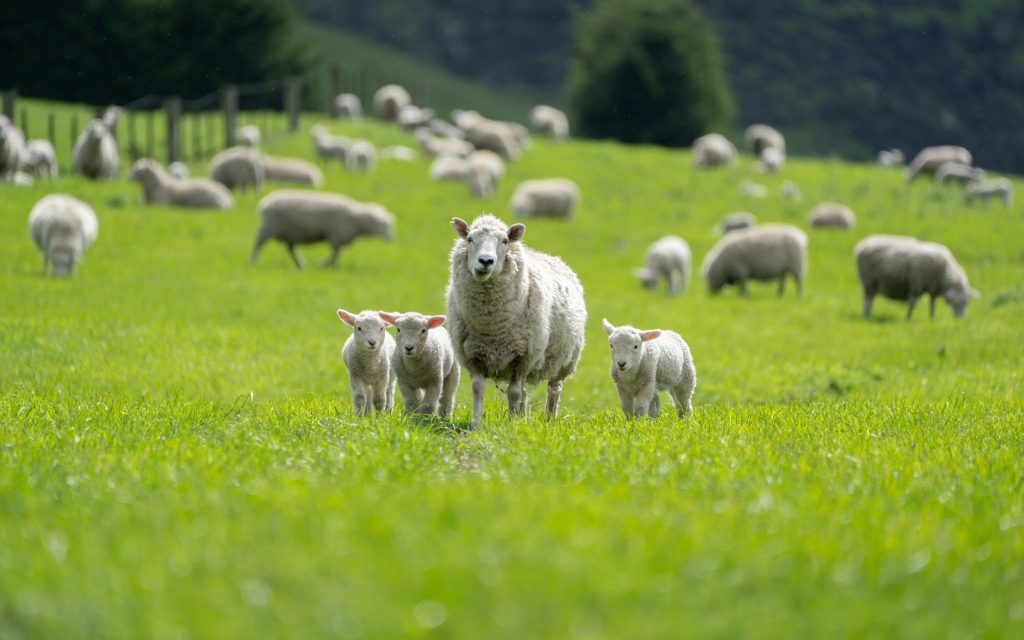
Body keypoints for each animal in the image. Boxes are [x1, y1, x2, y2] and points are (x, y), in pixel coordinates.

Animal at [252, 189, 395, 270]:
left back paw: (301, 265)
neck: (356, 219)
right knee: (257, 245)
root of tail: (264, 203)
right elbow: (335, 253)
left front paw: (332, 265)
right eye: (384, 225)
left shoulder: (339, 238)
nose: (392, 238)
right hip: (268, 228)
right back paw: (252, 261)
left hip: (289, 233)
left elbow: (337, 253)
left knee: (291, 250)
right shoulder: (336, 236)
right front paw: (326, 265)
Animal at [446, 211, 585, 425]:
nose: (485, 261)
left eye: (504, 241)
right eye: (469, 239)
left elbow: (513, 392)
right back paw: (524, 417)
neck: (491, 327)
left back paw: (549, 420)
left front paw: (512, 424)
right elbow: (478, 388)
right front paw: (477, 422)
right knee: (525, 393)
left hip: (564, 360)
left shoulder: (524, 356)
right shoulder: (472, 355)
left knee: (554, 389)